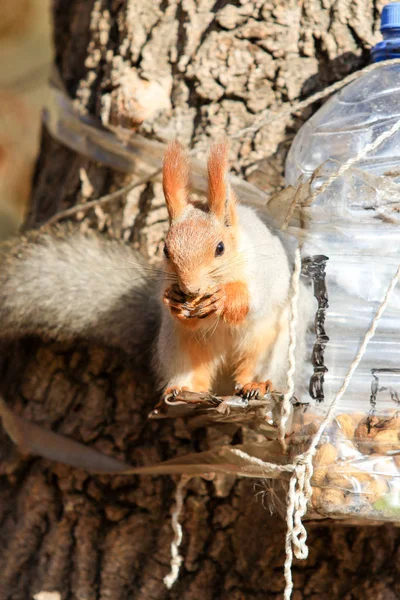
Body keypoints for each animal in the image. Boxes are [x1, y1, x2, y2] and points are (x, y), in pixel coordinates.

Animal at [0, 141, 314, 400]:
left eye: (220, 248)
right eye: (165, 249)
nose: (190, 288)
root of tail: (225, 383)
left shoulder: (266, 272)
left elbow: (253, 299)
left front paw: (224, 298)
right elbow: (182, 312)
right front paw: (174, 301)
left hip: (273, 348)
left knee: (258, 368)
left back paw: (255, 385)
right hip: (181, 346)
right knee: (193, 371)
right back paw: (184, 389)